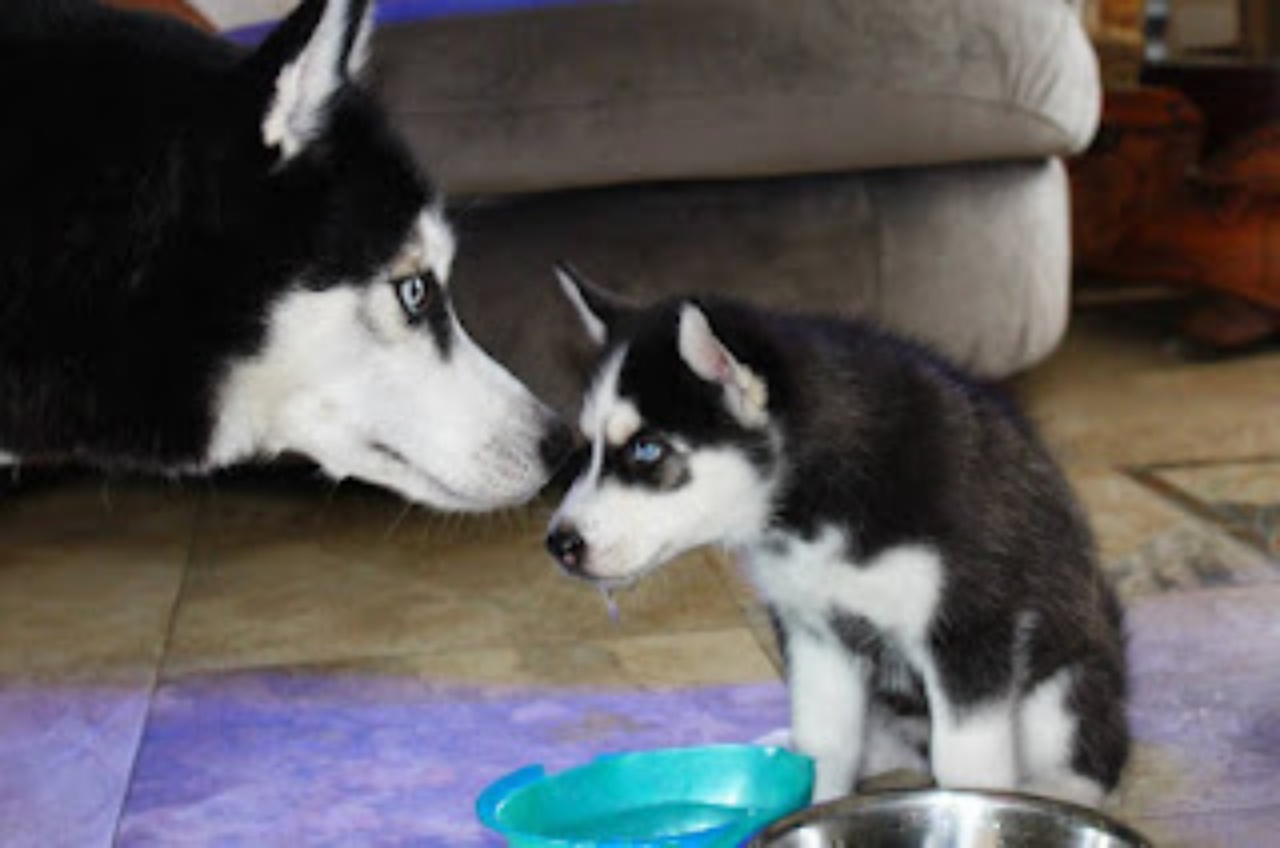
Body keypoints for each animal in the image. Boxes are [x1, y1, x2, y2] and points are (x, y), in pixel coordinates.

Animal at [545, 269, 1126, 809]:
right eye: (586, 446)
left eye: (646, 449)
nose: (559, 543)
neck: (812, 513)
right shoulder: (815, 631)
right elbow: (825, 745)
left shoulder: (969, 631)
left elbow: (966, 770)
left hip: (1063, 688)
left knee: (1089, 764)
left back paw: (1057, 791)